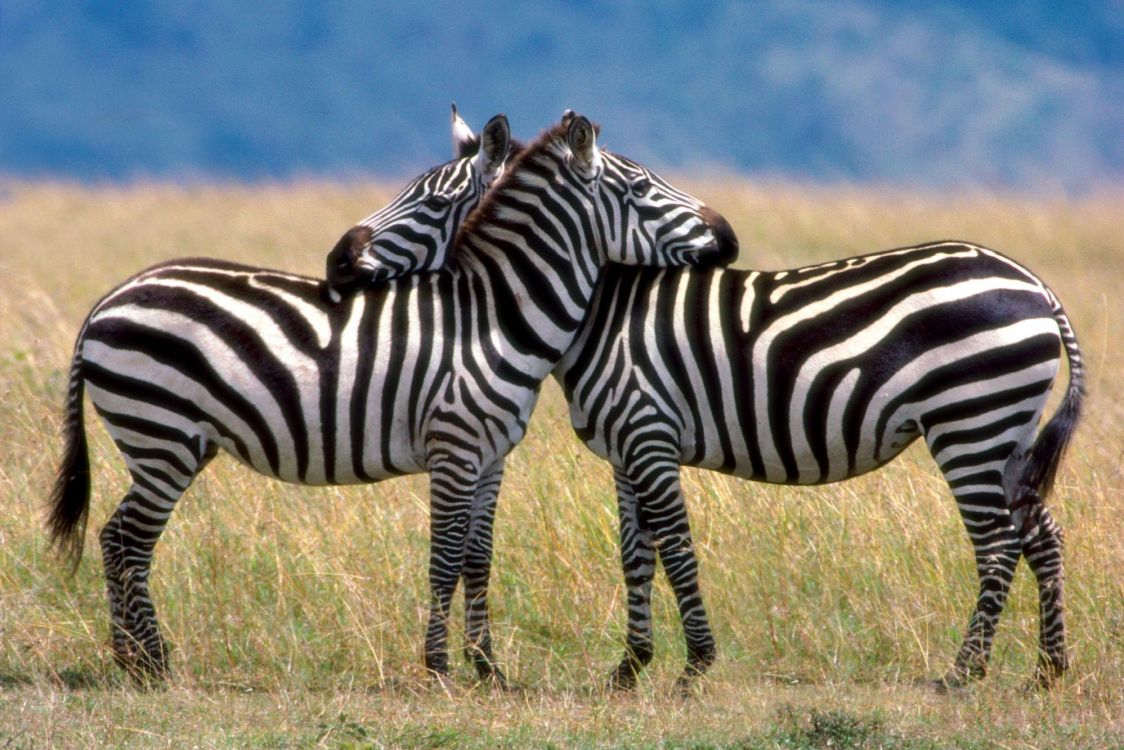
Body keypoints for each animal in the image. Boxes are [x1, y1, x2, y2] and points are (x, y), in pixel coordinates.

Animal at [46, 113, 739, 687]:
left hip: (169, 442)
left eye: (431, 201)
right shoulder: (454, 446)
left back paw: (136, 660)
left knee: (118, 537)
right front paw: (438, 669)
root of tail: (107, 301)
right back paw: (148, 665)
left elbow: (477, 558)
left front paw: (488, 670)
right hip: (161, 436)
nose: (729, 236)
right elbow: (444, 556)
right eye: (644, 189)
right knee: (125, 541)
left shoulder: (492, 456)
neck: (493, 315)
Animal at [337, 117, 1083, 691]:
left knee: (996, 546)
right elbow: (635, 552)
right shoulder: (624, 447)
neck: (598, 311)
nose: (338, 261)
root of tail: (1036, 284)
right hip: (1007, 434)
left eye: (429, 202)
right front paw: (630, 669)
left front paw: (694, 667)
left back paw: (964, 673)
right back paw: (1046, 671)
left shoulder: (649, 434)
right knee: (1040, 536)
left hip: (970, 424)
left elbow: (676, 547)